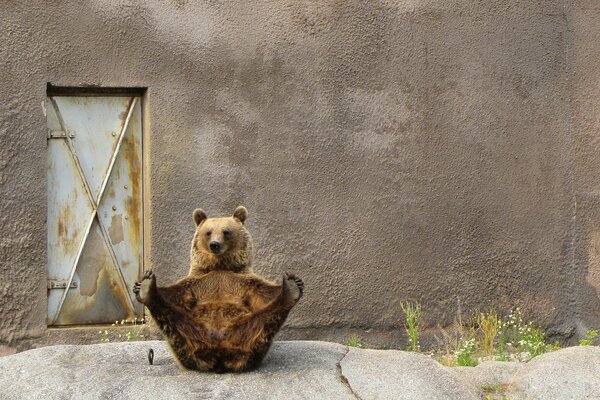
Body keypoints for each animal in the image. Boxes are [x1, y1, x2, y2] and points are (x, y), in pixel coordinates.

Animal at [132, 206, 300, 372]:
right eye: (208, 232)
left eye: (226, 231)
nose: (215, 244)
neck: (220, 265)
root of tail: (220, 355)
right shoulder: (197, 283)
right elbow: (175, 294)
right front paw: (140, 285)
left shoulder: (242, 281)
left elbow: (264, 293)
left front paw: (295, 281)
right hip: (190, 338)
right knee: (173, 320)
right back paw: (148, 289)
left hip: (246, 333)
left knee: (264, 321)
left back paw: (290, 290)